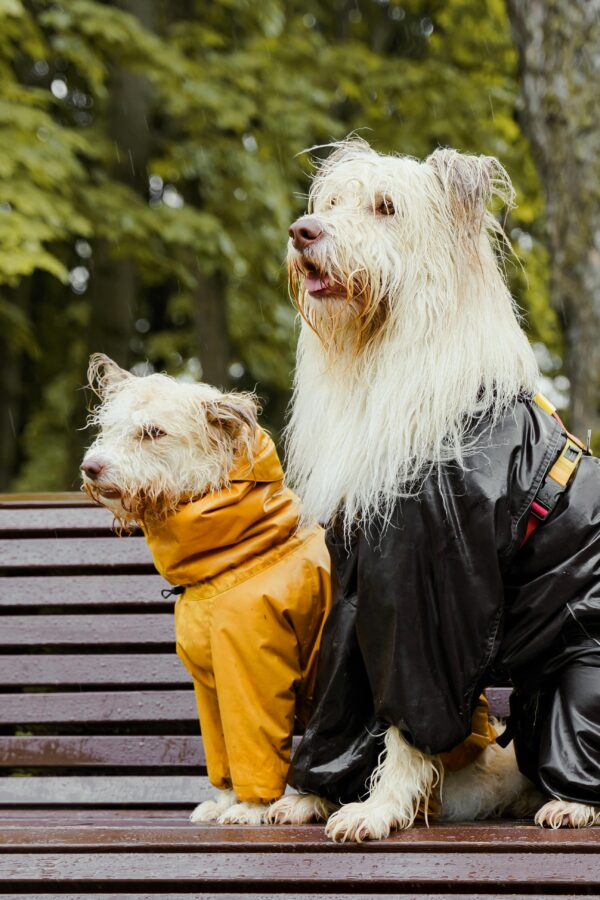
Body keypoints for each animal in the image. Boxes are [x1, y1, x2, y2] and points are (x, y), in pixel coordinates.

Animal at [270, 139, 596, 836]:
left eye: (386, 208)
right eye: (330, 203)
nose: (303, 231)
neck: (386, 357)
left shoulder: (428, 597)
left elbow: (408, 721)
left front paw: (379, 808)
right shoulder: (357, 591)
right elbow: (340, 703)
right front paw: (306, 796)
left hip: (586, 671)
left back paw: (572, 799)